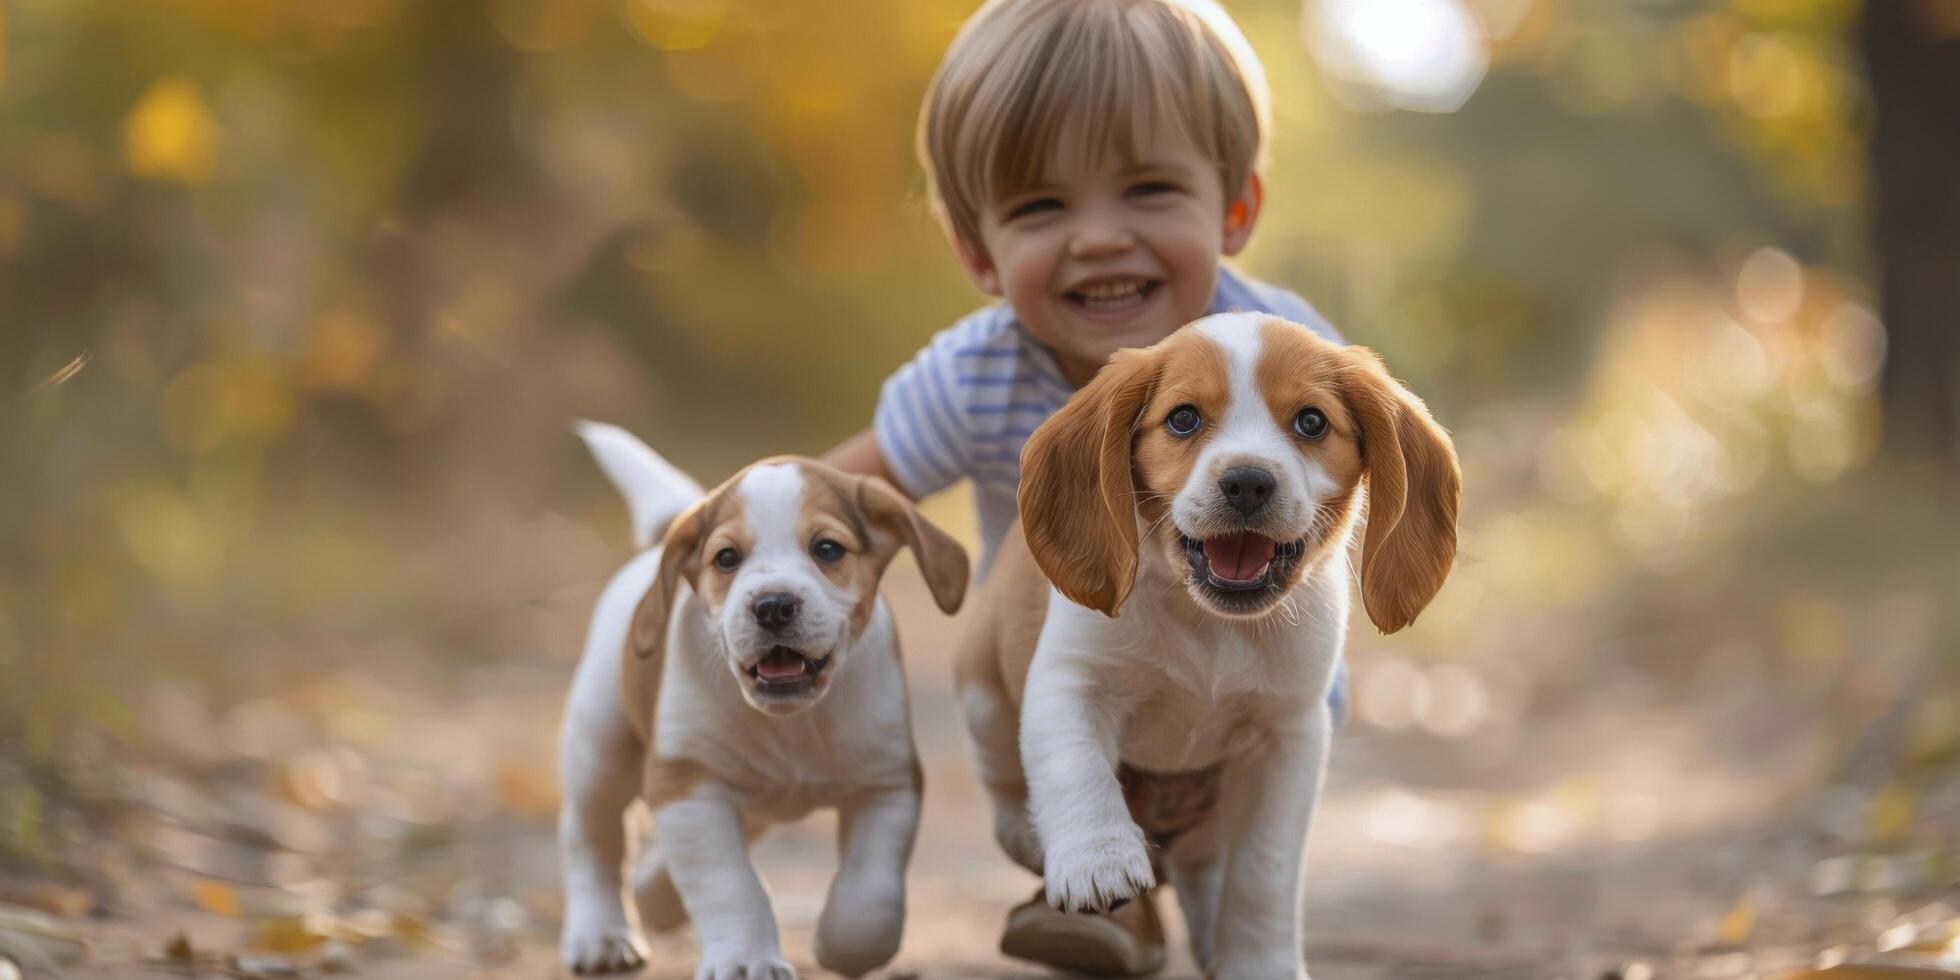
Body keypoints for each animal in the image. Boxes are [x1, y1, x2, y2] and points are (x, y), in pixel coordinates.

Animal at [560, 421, 964, 980]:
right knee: (591, 839)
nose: (773, 606)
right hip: (602, 749)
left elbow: (871, 895)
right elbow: (730, 885)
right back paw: (600, 934)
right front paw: (745, 958)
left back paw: (656, 896)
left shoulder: (887, 784)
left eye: (828, 549)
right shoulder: (689, 785)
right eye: (726, 558)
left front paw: (841, 946)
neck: (792, 723)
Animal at [956, 313, 1466, 980]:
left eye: (1311, 422)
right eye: (1183, 419)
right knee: (1001, 777)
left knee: (1204, 868)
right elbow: (1077, 770)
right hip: (982, 696)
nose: (1247, 482)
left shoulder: (1288, 736)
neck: (1212, 626)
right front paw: (1097, 862)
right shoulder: (1071, 683)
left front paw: (1259, 963)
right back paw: (1029, 835)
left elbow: (1264, 870)